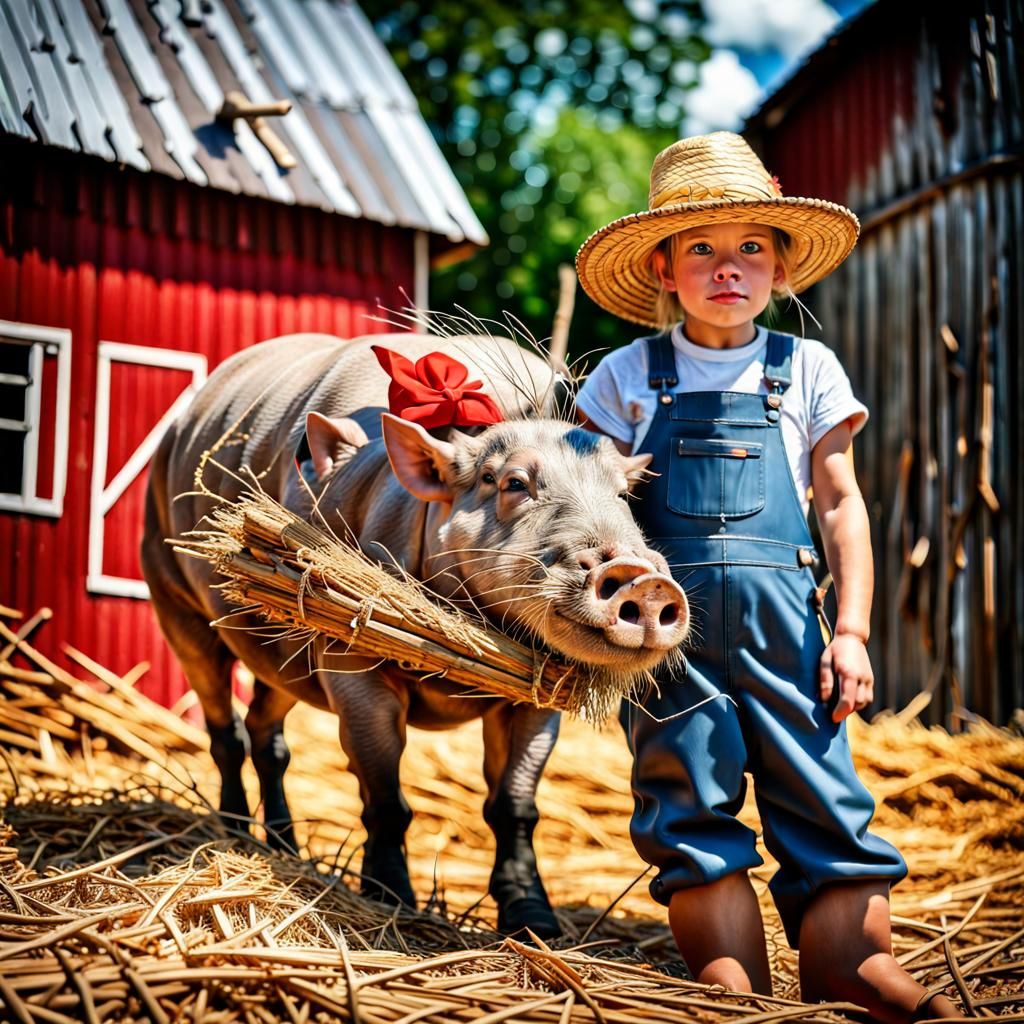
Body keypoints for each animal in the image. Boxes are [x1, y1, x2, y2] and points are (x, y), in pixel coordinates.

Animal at [141, 331, 688, 938]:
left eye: (621, 495)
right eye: (513, 483)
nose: (643, 579)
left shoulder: (541, 693)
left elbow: (515, 805)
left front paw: (534, 922)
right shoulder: (348, 658)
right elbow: (385, 796)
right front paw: (393, 898)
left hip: (284, 655)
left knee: (268, 730)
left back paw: (282, 847)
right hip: (172, 592)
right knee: (223, 724)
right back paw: (235, 831)